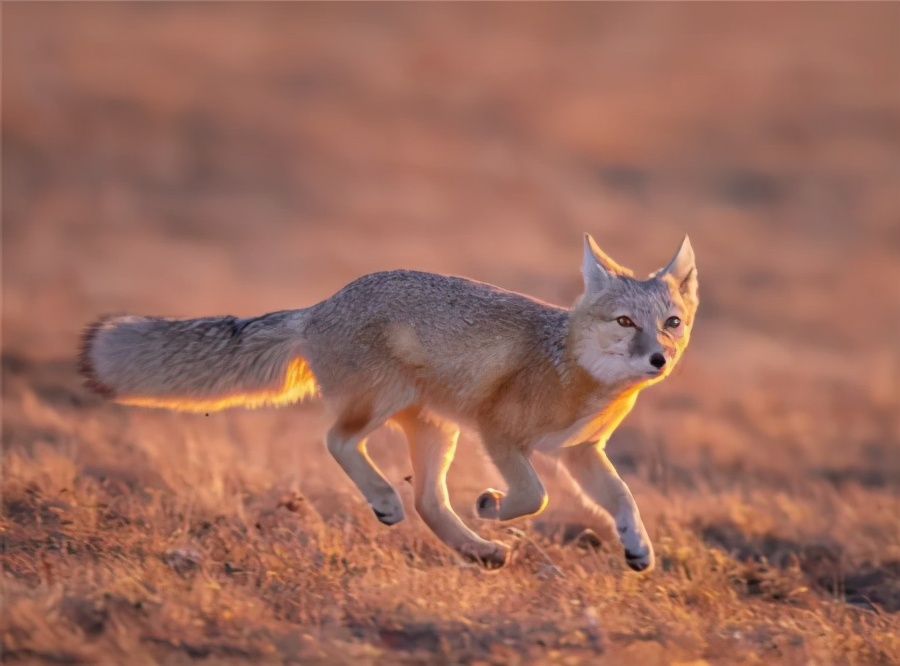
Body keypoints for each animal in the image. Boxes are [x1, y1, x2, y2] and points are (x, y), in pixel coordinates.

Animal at [79, 235, 696, 572]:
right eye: (625, 322)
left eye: (671, 323)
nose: (658, 360)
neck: (574, 370)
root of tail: (320, 306)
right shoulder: (498, 434)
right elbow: (536, 497)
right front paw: (492, 503)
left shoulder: (580, 452)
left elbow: (623, 499)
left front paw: (638, 549)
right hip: (386, 402)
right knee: (337, 441)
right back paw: (385, 500)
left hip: (437, 431)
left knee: (427, 500)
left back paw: (477, 552)